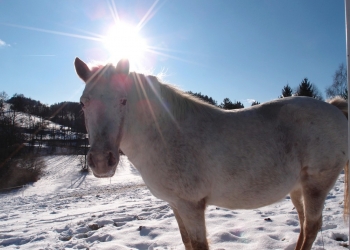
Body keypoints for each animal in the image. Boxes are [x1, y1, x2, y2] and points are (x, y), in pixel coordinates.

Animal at [75, 57, 348, 250]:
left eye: (123, 100)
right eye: (83, 102)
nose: (101, 161)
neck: (168, 133)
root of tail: (334, 109)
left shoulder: (192, 206)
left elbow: (198, 245)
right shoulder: (176, 205)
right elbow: (186, 242)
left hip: (316, 186)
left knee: (311, 227)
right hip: (297, 189)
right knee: (303, 225)